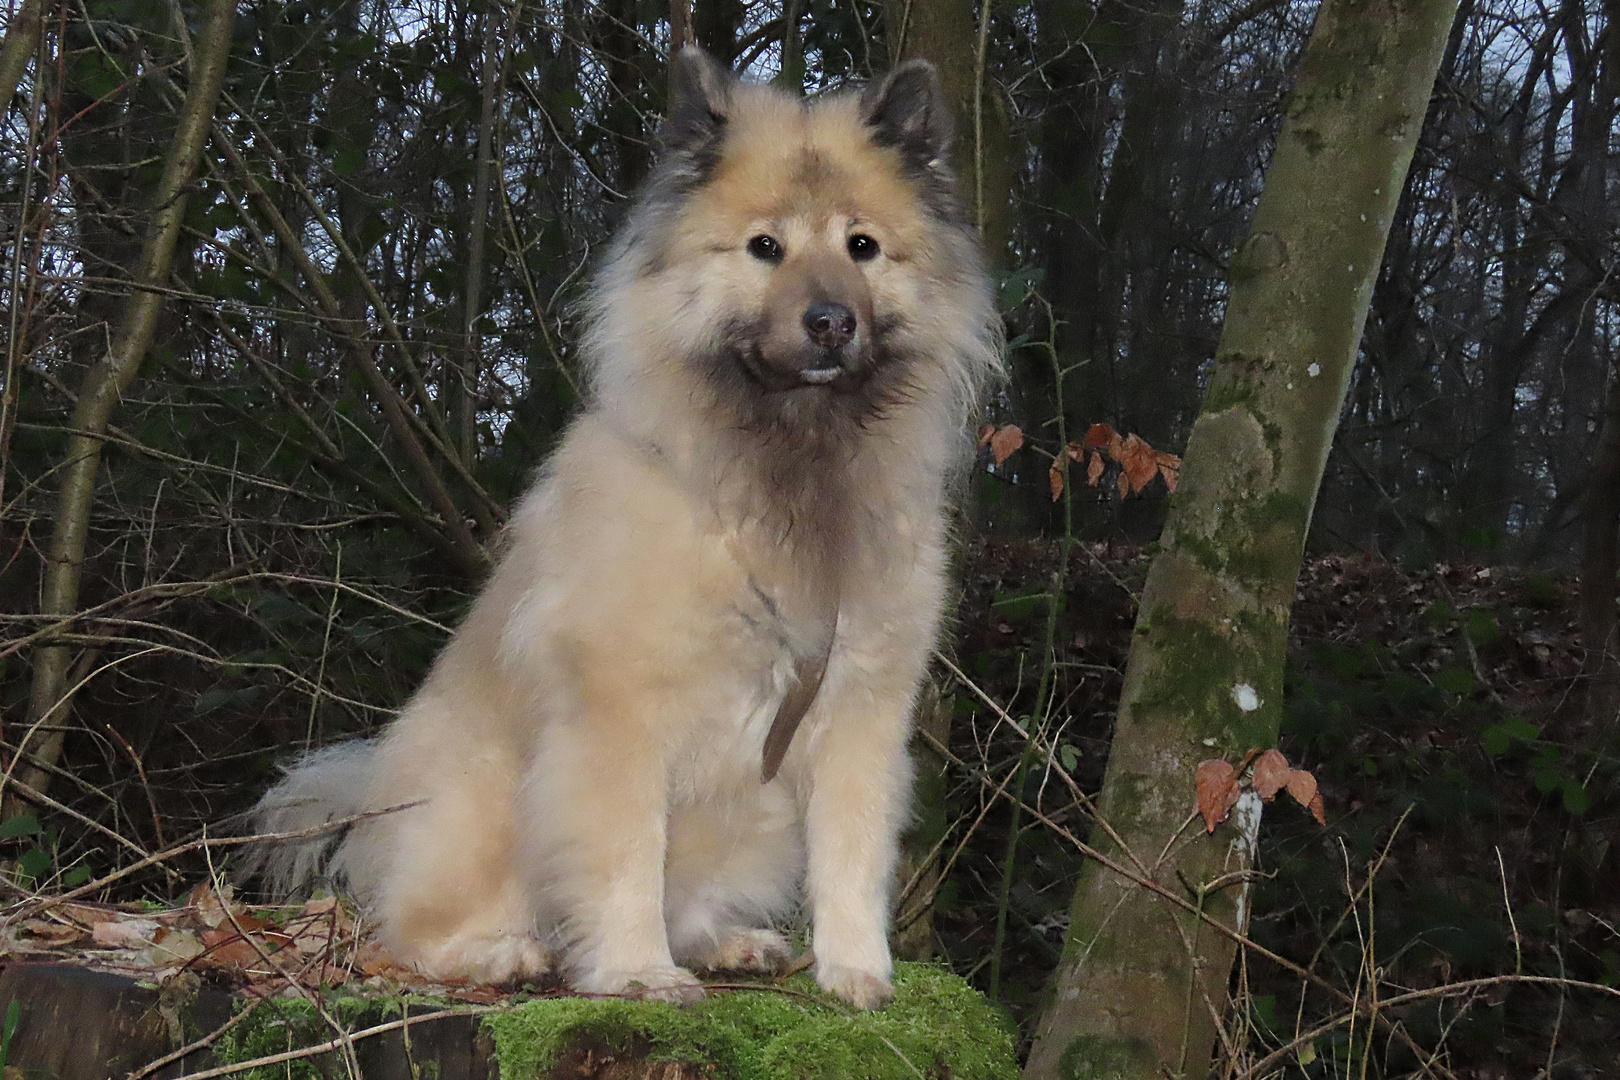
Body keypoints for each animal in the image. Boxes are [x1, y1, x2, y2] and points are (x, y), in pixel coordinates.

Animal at [249, 44, 997, 1016]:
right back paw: (500, 954)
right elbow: (623, 858)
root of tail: (376, 786)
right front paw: (637, 971)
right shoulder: (620, 715)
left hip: (753, 819)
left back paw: (727, 943)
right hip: (487, 802)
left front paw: (856, 973)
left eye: (861, 247)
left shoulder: (861, 712)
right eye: (766, 248)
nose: (831, 322)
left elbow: (853, 855)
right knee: (408, 933)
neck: (784, 471)